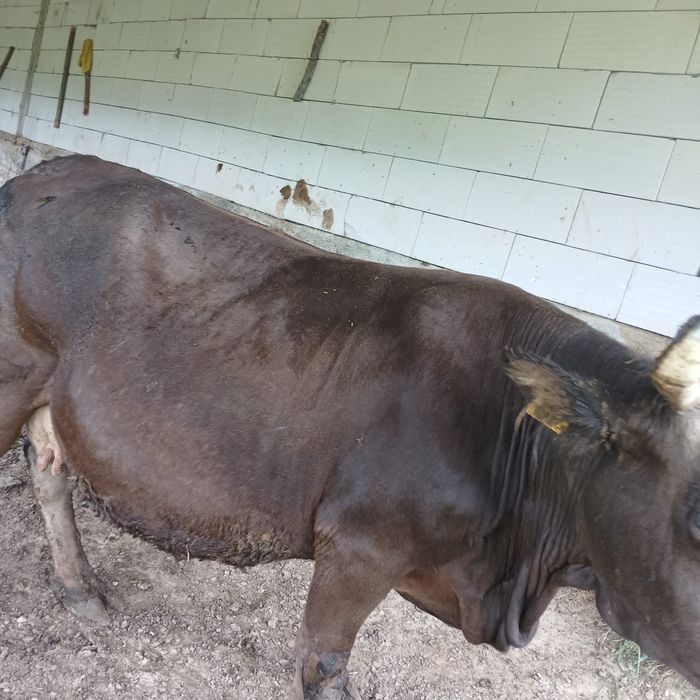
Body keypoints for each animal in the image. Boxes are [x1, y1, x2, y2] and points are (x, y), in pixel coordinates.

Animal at [0, 154, 698, 699]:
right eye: (693, 515)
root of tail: (41, 174)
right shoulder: (360, 545)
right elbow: (325, 665)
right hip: (14, 372)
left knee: (49, 473)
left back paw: (80, 592)